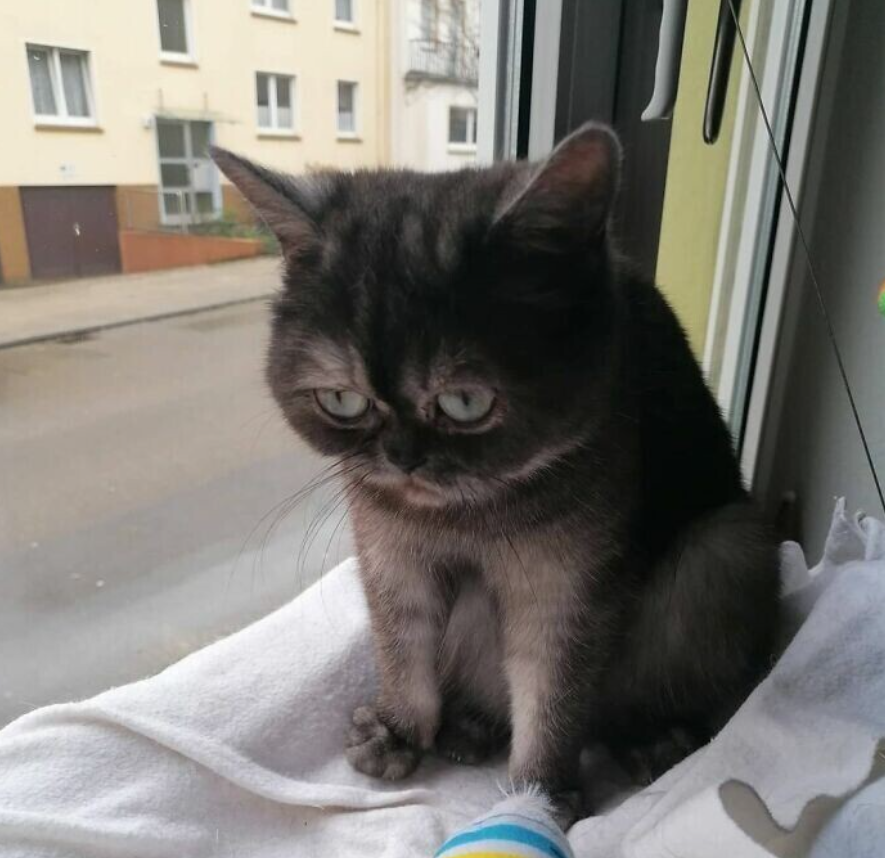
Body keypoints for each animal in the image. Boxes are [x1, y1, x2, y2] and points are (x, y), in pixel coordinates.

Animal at [212, 123, 780, 823]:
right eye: (341, 401)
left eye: (465, 402)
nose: (401, 458)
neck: (468, 513)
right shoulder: (393, 557)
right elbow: (403, 651)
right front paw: (400, 730)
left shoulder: (566, 588)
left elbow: (554, 694)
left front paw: (539, 796)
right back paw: (471, 727)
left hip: (726, 548)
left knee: (631, 698)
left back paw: (654, 740)